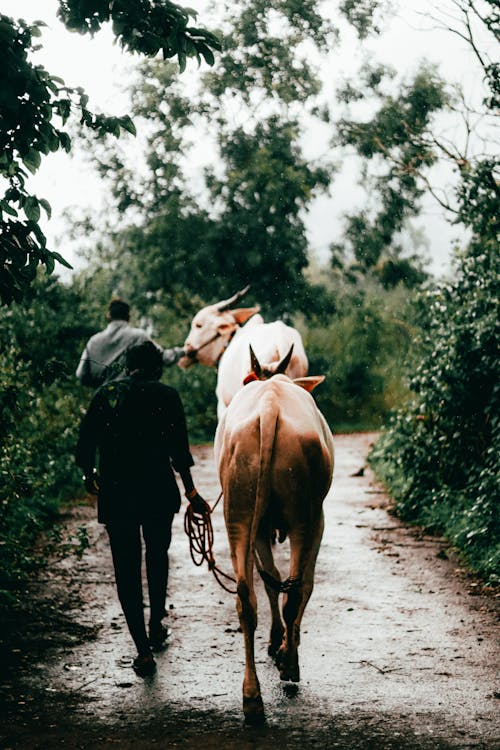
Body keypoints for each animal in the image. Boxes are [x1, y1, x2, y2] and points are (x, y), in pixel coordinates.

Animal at [213, 348, 334, 728]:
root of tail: (269, 406)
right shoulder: (316, 520)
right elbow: (299, 584)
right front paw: (282, 646)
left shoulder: (260, 529)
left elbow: (269, 581)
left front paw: (275, 639)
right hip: (305, 517)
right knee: (295, 589)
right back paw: (289, 667)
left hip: (238, 514)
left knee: (246, 598)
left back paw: (252, 700)